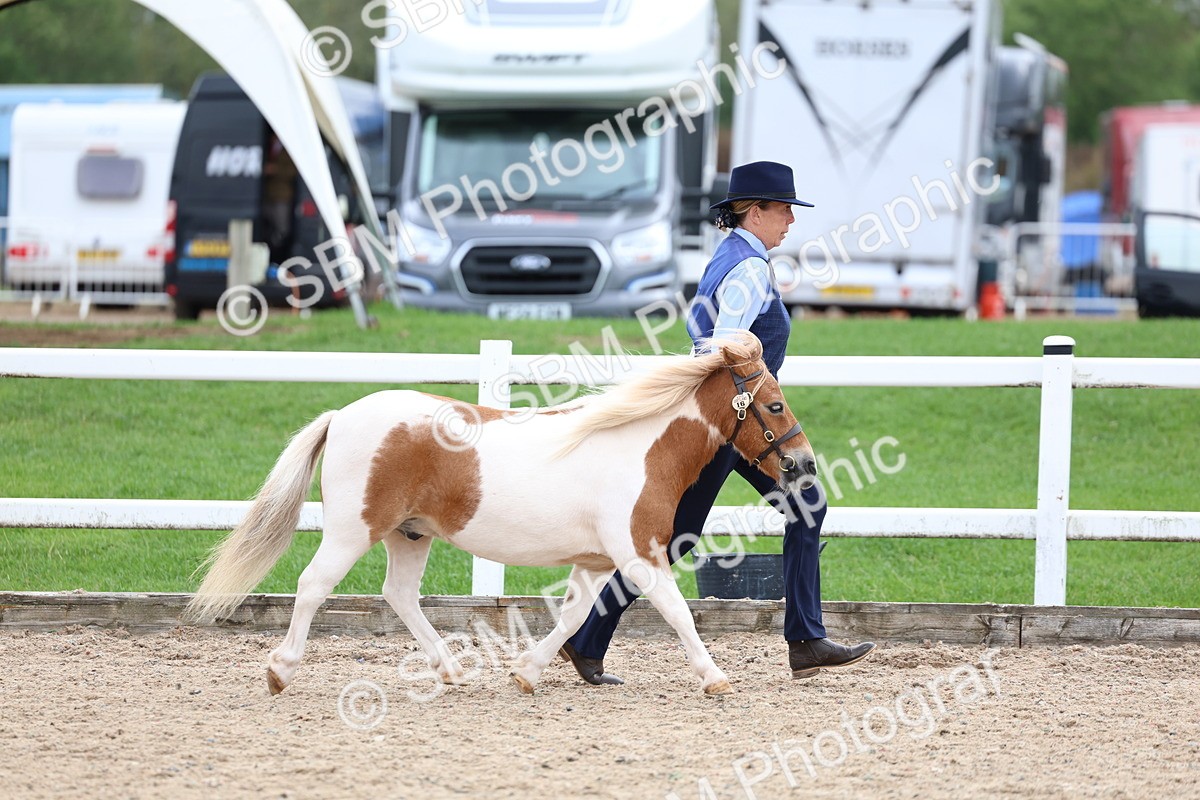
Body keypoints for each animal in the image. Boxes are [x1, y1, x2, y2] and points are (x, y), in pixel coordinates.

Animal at [186, 332, 818, 696]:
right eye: (774, 404)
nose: (804, 464)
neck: (640, 448)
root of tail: (341, 415)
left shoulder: (597, 561)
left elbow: (572, 616)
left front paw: (526, 673)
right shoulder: (638, 553)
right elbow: (678, 612)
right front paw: (716, 678)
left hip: (409, 535)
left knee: (399, 595)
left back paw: (451, 671)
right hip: (351, 530)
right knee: (313, 585)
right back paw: (280, 671)